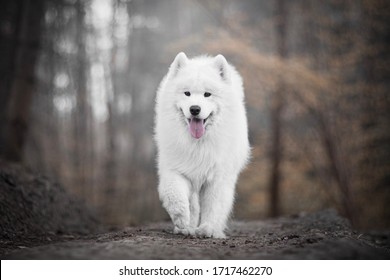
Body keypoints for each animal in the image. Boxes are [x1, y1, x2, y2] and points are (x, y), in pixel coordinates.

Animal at [155, 52, 250, 238]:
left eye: (207, 94)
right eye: (187, 93)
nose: (194, 109)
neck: (198, 143)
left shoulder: (217, 178)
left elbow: (213, 206)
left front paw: (207, 229)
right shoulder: (175, 169)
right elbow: (175, 193)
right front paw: (181, 219)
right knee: (192, 203)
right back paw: (187, 227)